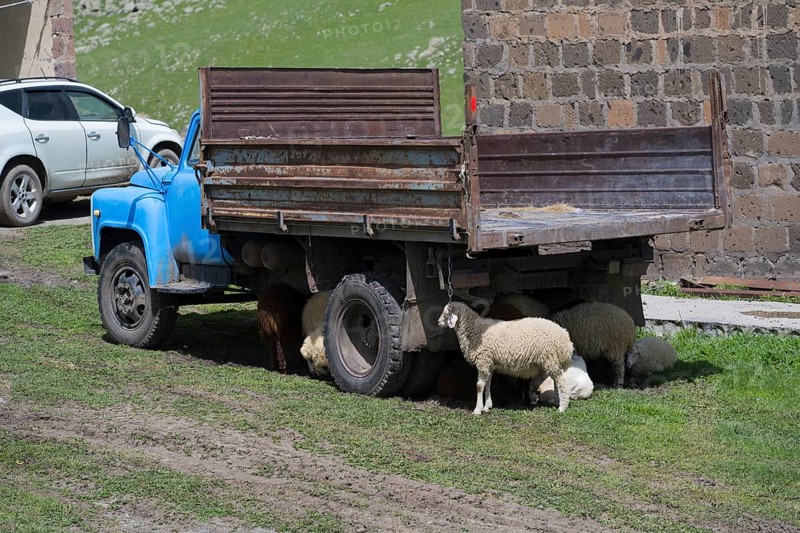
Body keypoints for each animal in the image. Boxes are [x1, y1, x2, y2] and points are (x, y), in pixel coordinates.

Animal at [438, 301, 574, 415]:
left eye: (446, 314)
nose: (438, 323)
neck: (474, 329)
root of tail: (565, 337)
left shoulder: (483, 361)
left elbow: (479, 386)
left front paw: (477, 409)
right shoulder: (489, 363)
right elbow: (488, 384)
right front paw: (487, 406)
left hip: (550, 359)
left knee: (561, 382)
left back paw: (562, 407)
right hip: (551, 361)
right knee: (556, 381)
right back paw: (557, 401)